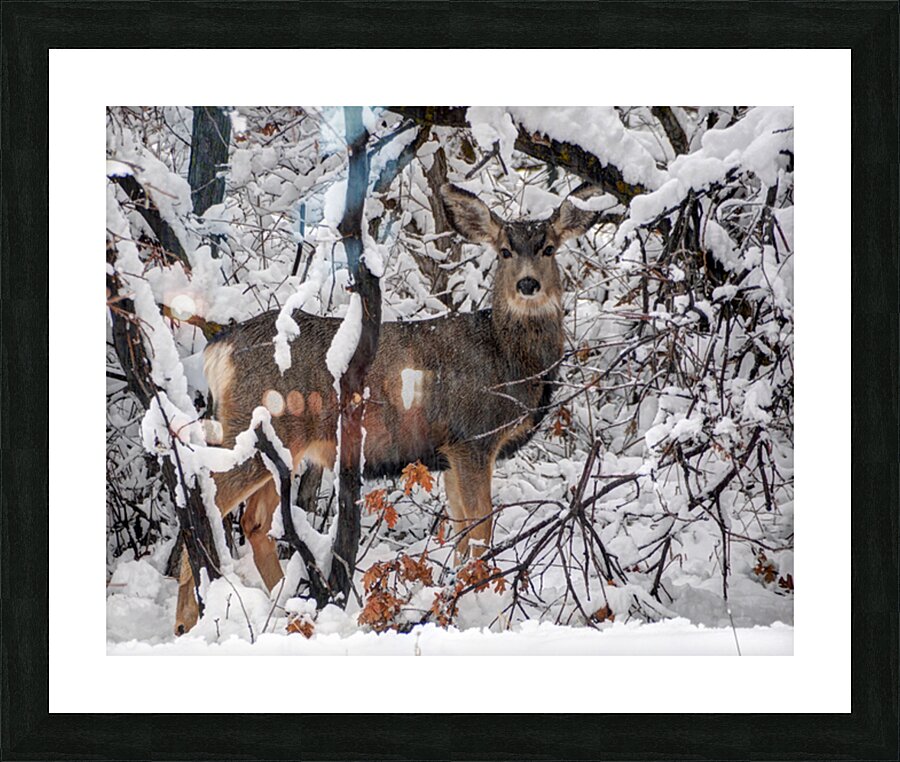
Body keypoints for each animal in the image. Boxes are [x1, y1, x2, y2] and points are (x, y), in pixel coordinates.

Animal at [174, 183, 599, 634]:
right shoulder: (472, 438)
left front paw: (458, 601)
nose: (528, 284)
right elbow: (481, 528)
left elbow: (461, 531)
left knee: (254, 523)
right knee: (201, 504)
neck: (508, 359)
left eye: (549, 248)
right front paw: (487, 610)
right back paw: (188, 621)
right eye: (503, 251)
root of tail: (219, 350)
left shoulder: (448, 451)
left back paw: (285, 607)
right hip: (247, 432)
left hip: (280, 448)